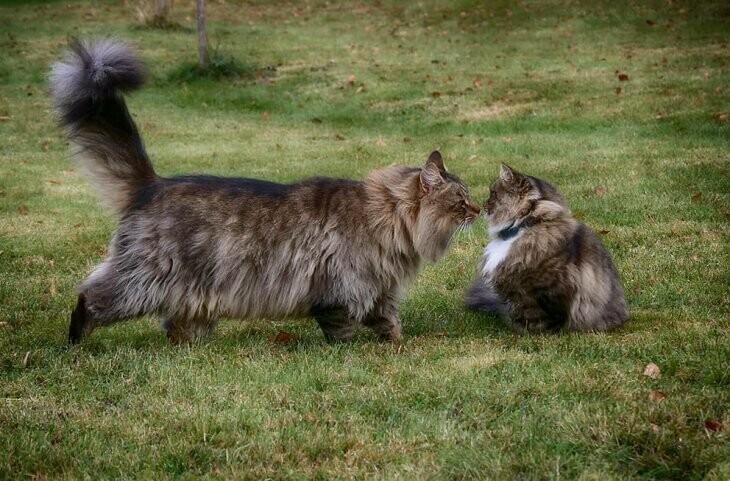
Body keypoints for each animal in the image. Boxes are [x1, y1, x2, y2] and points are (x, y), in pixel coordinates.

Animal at [52, 39, 484, 344]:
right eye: (461, 200)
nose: (479, 210)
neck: (386, 219)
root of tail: (152, 184)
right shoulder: (344, 288)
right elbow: (342, 328)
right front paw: (352, 349)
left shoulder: (380, 289)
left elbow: (389, 321)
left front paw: (397, 343)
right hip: (143, 279)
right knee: (93, 295)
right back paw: (74, 341)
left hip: (192, 295)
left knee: (175, 324)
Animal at [466, 163, 624, 332]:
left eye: (493, 193)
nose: (482, 206)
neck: (526, 225)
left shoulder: (548, 289)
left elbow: (550, 315)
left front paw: (536, 332)